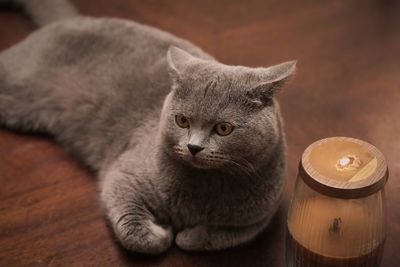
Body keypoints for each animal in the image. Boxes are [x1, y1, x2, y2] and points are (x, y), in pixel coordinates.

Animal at [0, 0, 294, 254]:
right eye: (182, 121)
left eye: (223, 129)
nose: (193, 147)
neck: (203, 189)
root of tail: (72, 19)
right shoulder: (123, 176)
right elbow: (135, 232)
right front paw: (162, 233)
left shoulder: (256, 219)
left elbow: (213, 237)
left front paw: (187, 235)